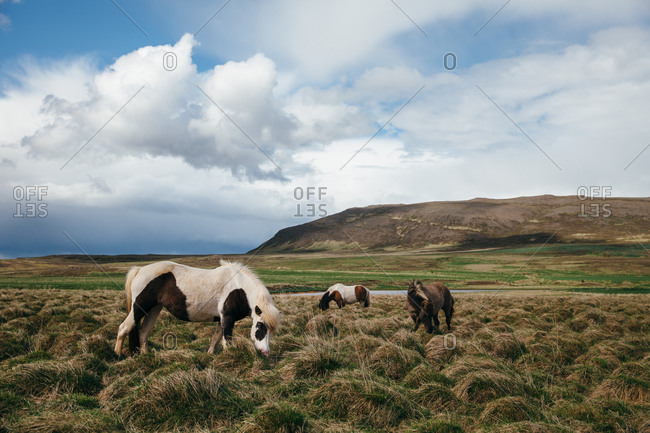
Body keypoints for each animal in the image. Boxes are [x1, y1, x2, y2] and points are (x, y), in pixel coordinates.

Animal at [114, 260, 281, 357]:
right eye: (260, 326)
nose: (265, 352)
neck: (239, 288)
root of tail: (139, 269)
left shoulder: (222, 319)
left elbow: (216, 338)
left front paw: (210, 355)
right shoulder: (228, 318)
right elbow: (227, 341)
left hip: (154, 309)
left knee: (143, 333)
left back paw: (146, 357)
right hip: (139, 308)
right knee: (124, 328)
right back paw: (117, 355)